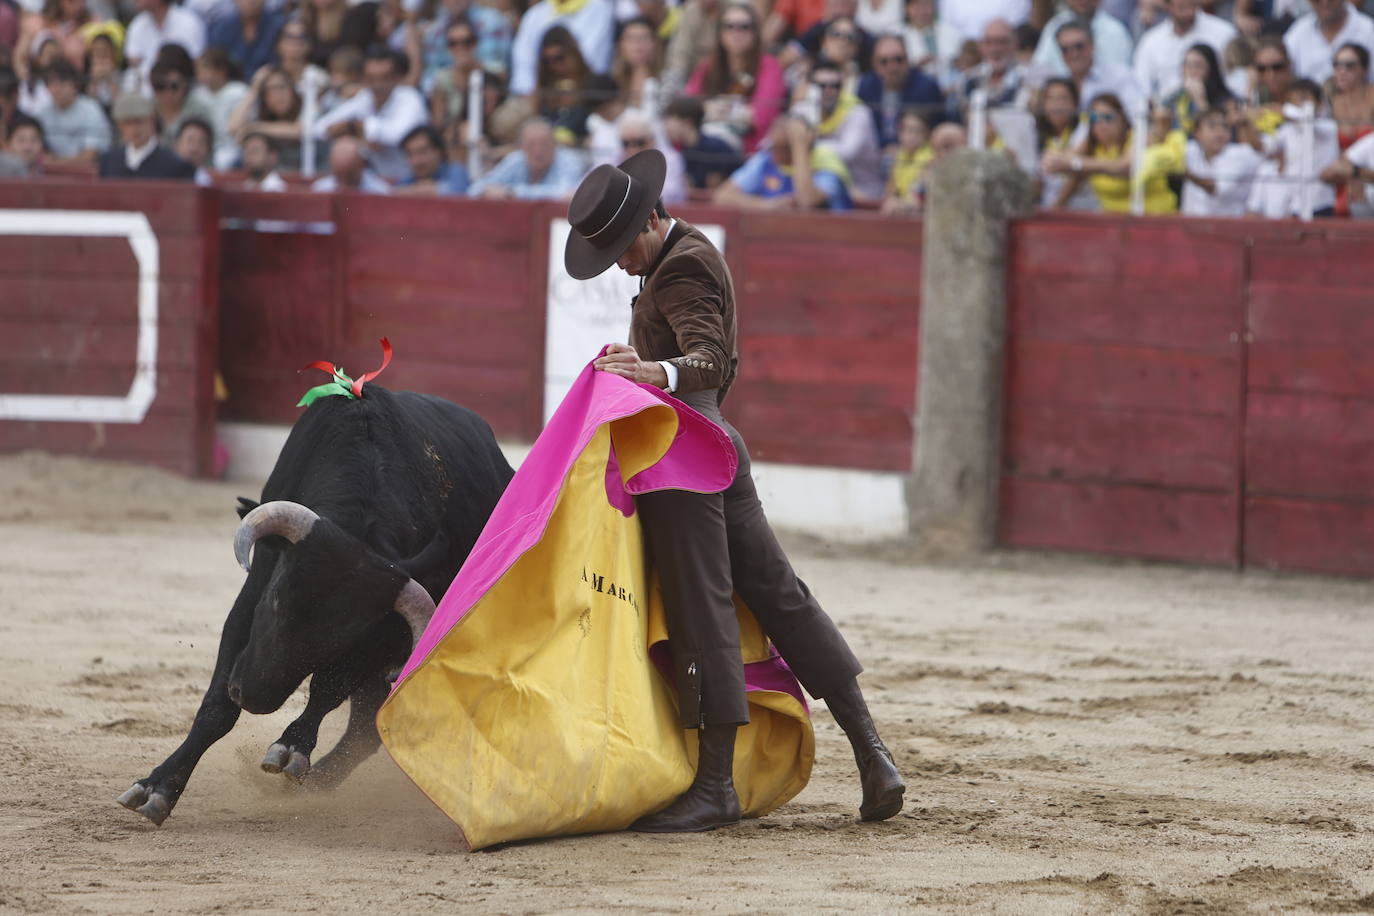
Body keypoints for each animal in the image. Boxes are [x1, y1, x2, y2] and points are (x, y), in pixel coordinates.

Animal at [118, 384, 513, 829]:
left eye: (342, 637)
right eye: (275, 600)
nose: (252, 695)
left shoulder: (380, 641)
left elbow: (326, 690)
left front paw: (291, 748)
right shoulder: (248, 604)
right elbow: (217, 707)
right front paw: (156, 789)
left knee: (365, 729)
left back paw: (310, 782)